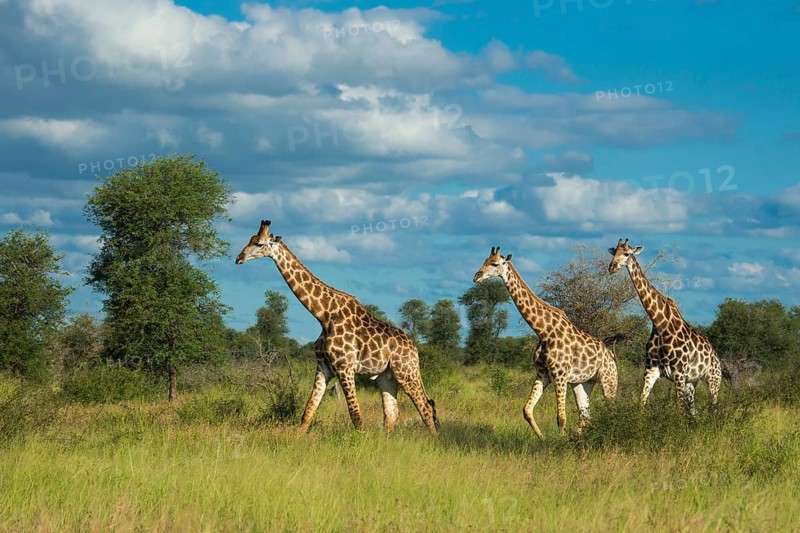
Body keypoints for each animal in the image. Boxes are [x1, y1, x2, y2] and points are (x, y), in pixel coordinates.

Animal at [236, 220, 439, 434]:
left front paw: (359, 440)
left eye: (259, 243)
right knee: (392, 414)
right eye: (251, 239)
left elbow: (356, 415)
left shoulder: (345, 366)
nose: (239, 258)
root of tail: (414, 348)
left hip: (406, 372)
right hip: (386, 376)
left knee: (425, 407)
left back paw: (435, 439)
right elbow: (308, 412)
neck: (323, 315)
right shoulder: (323, 367)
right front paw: (297, 438)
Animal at [473, 247, 618, 438]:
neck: (543, 331)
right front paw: (542, 438)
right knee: (585, 415)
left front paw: (560, 441)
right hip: (583, 383)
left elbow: (561, 418)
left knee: (610, 410)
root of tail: (612, 356)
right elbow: (527, 410)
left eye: (495, 263)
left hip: (608, 380)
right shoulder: (542, 373)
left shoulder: (560, 375)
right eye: (484, 261)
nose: (477, 276)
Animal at [607, 238, 721, 415]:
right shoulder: (651, 370)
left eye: (627, 253)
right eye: (614, 253)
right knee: (693, 411)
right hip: (692, 382)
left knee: (713, 408)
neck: (660, 324)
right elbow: (641, 402)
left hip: (713, 380)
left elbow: (679, 409)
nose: (611, 267)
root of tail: (717, 357)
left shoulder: (679, 373)